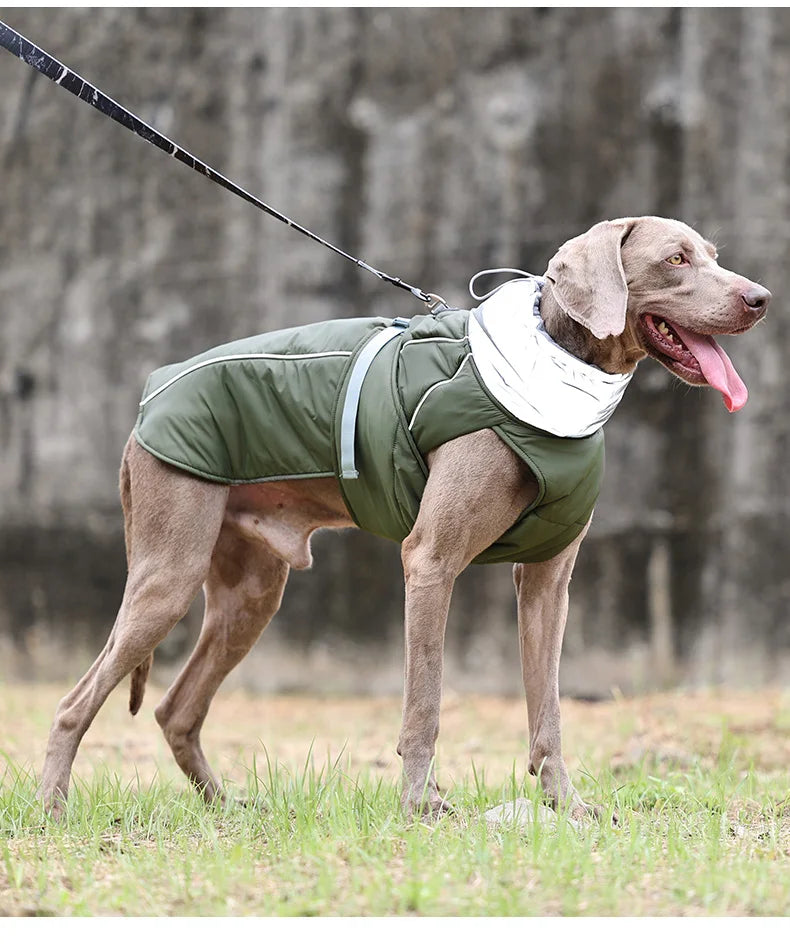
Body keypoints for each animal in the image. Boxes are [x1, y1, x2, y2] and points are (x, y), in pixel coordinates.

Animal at [38, 213, 772, 816]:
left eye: (713, 255)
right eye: (675, 259)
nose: (761, 298)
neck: (559, 365)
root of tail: (148, 399)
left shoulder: (548, 582)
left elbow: (549, 710)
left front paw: (568, 805)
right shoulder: (430, 562)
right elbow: (425, 703)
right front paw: (421, 804)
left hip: (250, 593)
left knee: (175, 708)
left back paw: (228, 808)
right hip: (168, 570)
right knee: (75, 702)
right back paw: (53, 809)